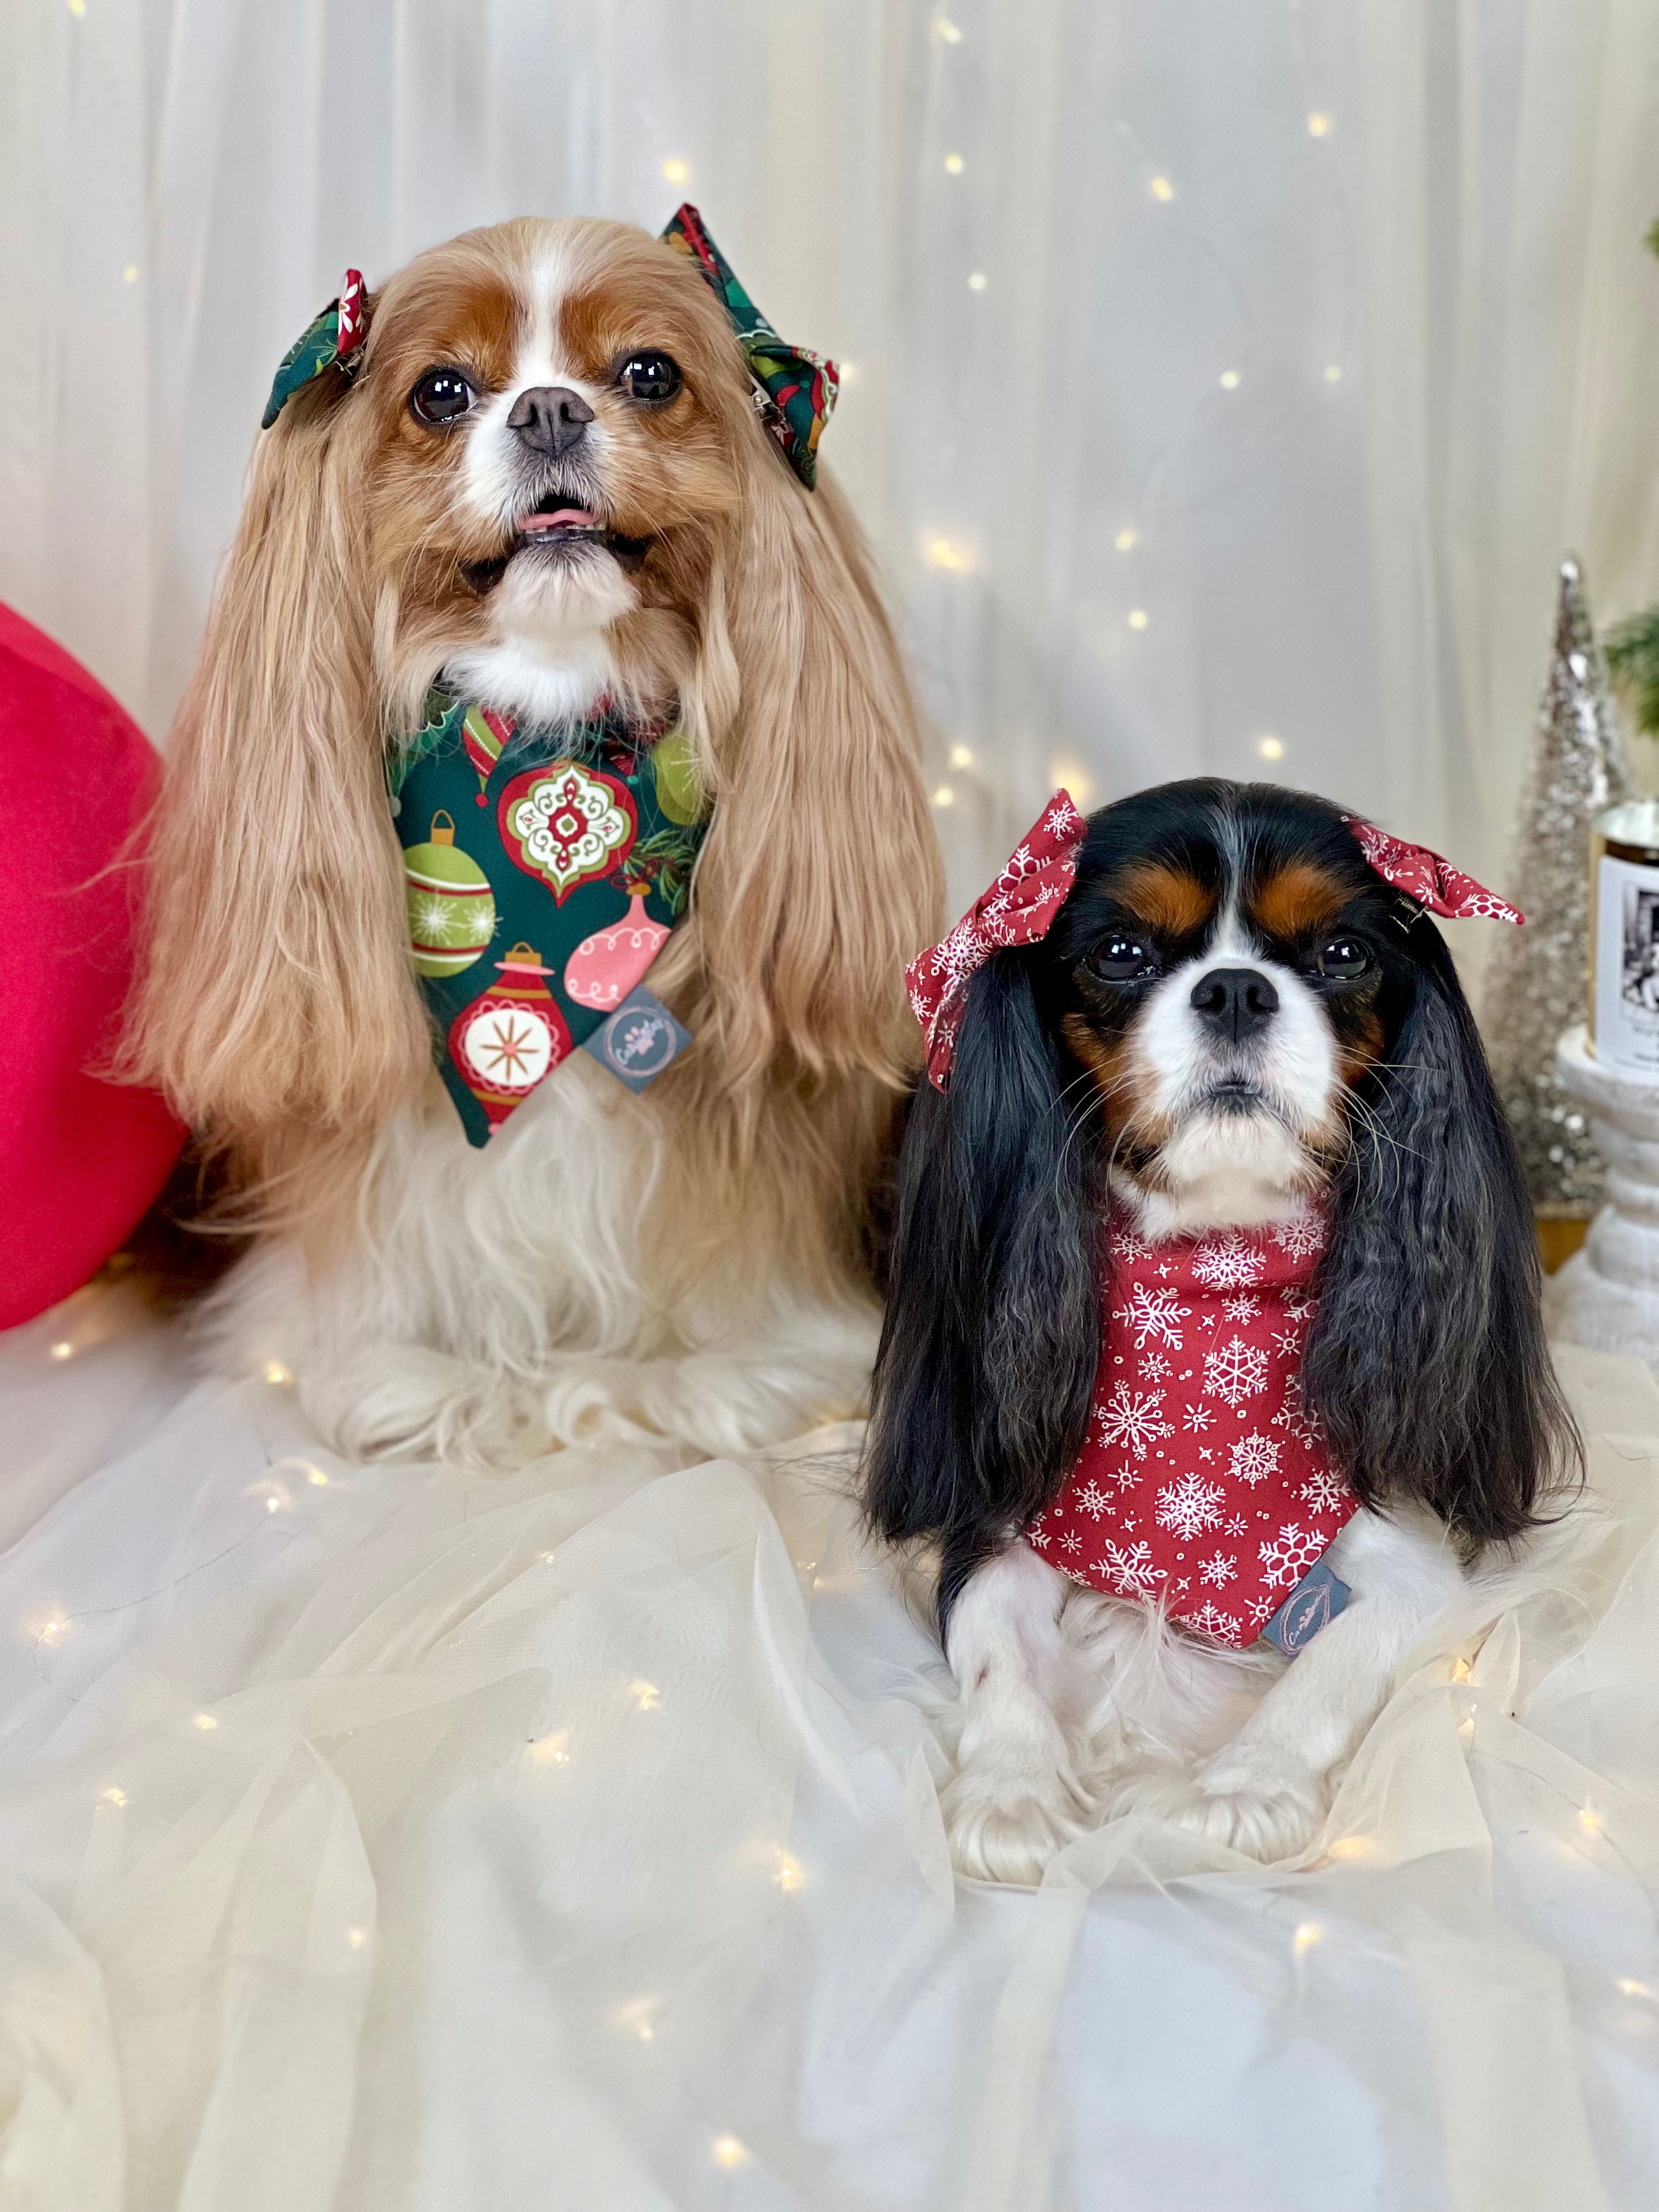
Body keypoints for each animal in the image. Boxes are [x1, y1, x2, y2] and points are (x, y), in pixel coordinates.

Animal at [134, 220, 942, 1469]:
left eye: (650, 374)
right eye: (441, 391)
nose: (550, 409)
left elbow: (720, 1379)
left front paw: (601, 1390)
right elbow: (368, 1366)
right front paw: (462, 1389)